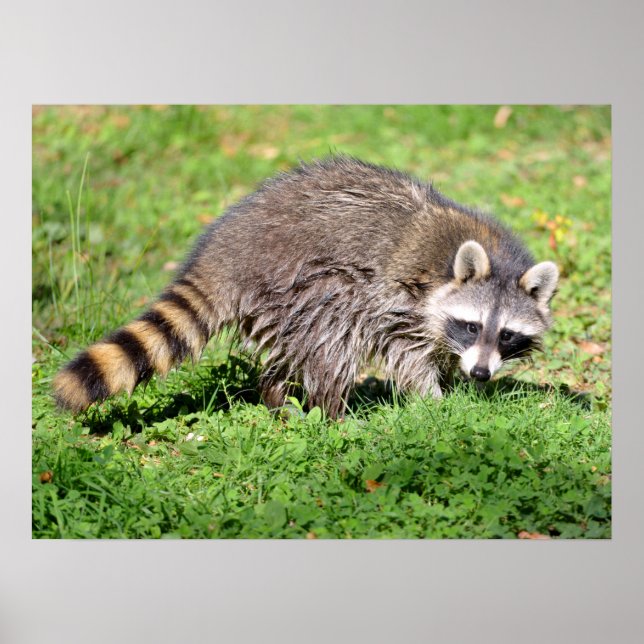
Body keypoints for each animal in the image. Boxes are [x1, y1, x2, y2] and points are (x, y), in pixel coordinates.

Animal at [53, 156, 559, 419]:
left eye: (507, 335)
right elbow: (407, 352)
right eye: (472, 326)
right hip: (304, 281)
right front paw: (434, 400)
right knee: (334, 333)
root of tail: (227, 250)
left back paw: (278, 395)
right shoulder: (402, 298)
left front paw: (458, 380)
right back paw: (331, 411)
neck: (496, 258)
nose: (481, 375)